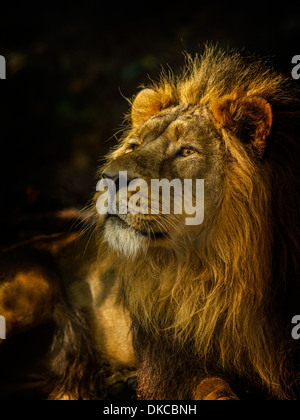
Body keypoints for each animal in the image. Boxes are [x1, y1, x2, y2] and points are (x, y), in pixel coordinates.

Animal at [0, 46, 300, 400]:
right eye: (134, 145)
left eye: (186, 151)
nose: (110, 179)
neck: (229, 265)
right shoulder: (174, 359)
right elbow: (214, 389)